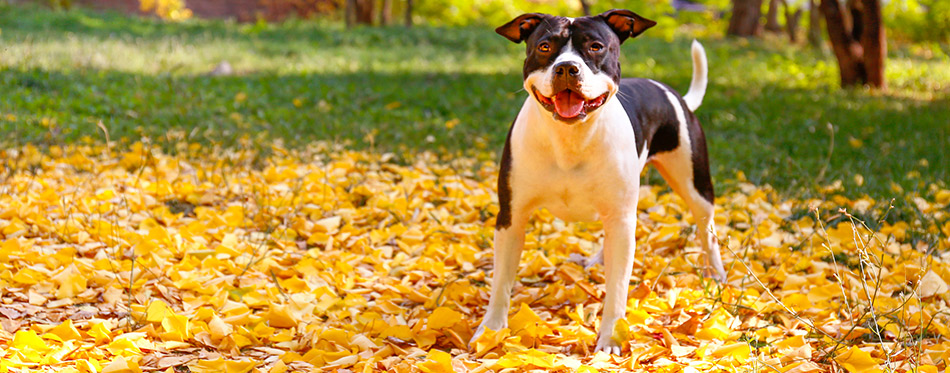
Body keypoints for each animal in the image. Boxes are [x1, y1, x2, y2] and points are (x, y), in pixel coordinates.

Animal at [474, 9, 728, 354]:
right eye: (544, 46)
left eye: (595, 46)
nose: (567, 67)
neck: (570, 139)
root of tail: (675, 95)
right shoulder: (511, 218)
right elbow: (501, 281)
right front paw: (489, 332)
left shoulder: (621, 219)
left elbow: (618, 288)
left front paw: (610, 338)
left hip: (694, 185)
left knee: (706, 229)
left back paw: (717, 275)